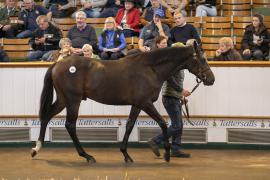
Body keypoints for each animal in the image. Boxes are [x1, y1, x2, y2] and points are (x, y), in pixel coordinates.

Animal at [30, 41, 215, 163]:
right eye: (202, 59)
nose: (211, 79)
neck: (151, 69)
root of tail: (57, 64)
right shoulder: (145, 103)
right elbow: (162, 123)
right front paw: (167, 154)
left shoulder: (137, 104)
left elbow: (130, 125)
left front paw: (126, 154)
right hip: (73, 101)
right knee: (69, 125)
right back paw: (87, 156)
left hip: (63, 100)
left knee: (46, 116)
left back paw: (36, 149)